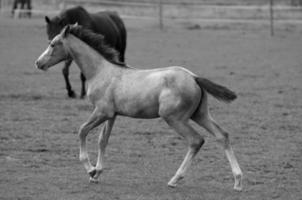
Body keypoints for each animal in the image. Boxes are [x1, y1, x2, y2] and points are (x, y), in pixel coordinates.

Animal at [35, 25, 243, 191]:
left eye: (53, 44)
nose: (38, 63)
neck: (101, 71)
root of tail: (194, 77)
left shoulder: (102, 111)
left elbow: (82, 131)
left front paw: (90, 169)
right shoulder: (112, 115)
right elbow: (103, 140)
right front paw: (97, 173)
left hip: (174, 118)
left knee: (196, 140)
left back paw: (175, 179)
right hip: (200, 114)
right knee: (222, 135)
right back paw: (238, 181)